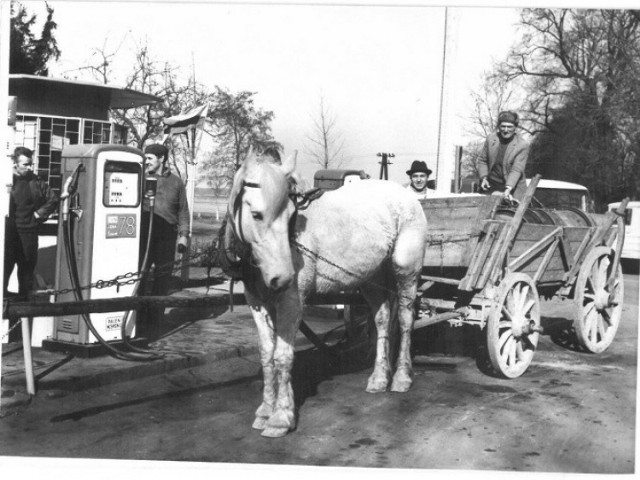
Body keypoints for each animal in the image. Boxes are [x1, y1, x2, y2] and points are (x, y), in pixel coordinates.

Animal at [222, 151, 428, 438]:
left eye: (290, 216)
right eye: (256, 214)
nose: (283, 278)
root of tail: (407, 195)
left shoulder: (291, 301)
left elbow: (282, 356)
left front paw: (280, 418)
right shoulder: (258, 303)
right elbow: (266, 355)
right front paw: (265, 411)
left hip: (405, 271)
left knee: (406, 321)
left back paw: (401, 377)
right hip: (372, 278)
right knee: (383, 321)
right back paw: (379, 378)